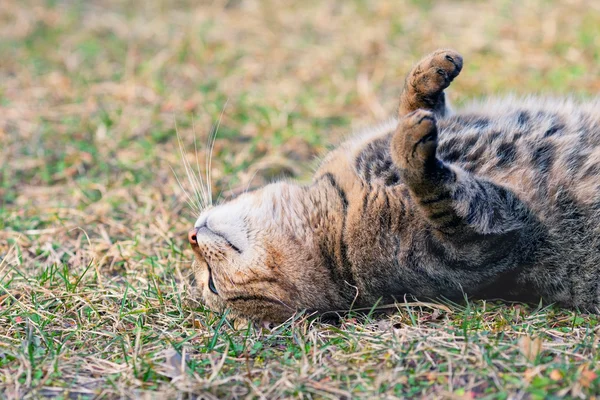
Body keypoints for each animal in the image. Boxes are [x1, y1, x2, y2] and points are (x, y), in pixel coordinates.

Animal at [188, 49, 600, 324]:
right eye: (212, 285)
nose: (190, 236)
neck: (341, 207)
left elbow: (415, 108)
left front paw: (427, 76)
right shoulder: (478, 244)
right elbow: (436, 190)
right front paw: (409, 149)